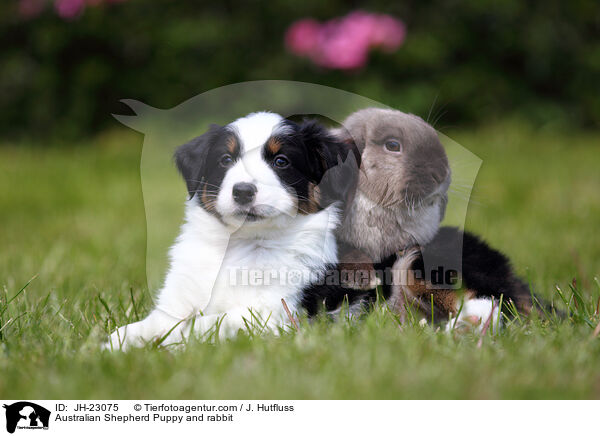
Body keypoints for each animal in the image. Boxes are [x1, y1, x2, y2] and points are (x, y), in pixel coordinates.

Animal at [105, 111, 358, 350]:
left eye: (281, 161)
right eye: (226, 159)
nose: (243, 191)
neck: (239, 243)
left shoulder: (276, 311)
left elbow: (205, 324)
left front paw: (172, 342)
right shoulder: (178, 297)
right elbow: (156, 323)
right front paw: (112, 345)